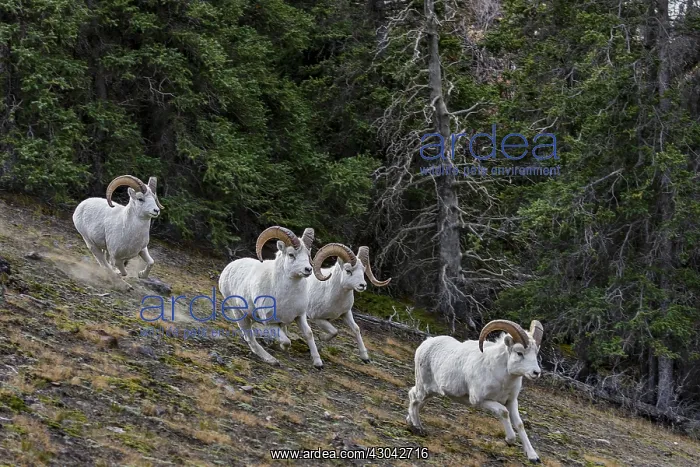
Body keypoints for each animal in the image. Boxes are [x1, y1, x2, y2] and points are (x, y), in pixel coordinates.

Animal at [218, 226, 328, 368]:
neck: (287, 298)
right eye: (291, 254)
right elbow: (286, 341)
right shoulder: (270, 323)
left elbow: (308, 333)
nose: (308, 269)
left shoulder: (300, 316)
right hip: (239, 314)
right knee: (250, 338)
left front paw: (318, 362)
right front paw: (284, 347)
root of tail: (228, 268)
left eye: (308, 255)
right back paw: (271, 360)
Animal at [407, 320, 544, 463]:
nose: (536, 373)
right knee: (413, 397)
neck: (502, 380)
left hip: (430, 392)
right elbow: (503, 412)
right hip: (423, 387)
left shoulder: (511, 401)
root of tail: (425, 344)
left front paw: (533, 457)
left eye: (535, 353)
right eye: (519, 353)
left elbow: (519, 424)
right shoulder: (481, 400)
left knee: (419, 403)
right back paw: (417, 428)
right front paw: (509, 440)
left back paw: (411, 422)